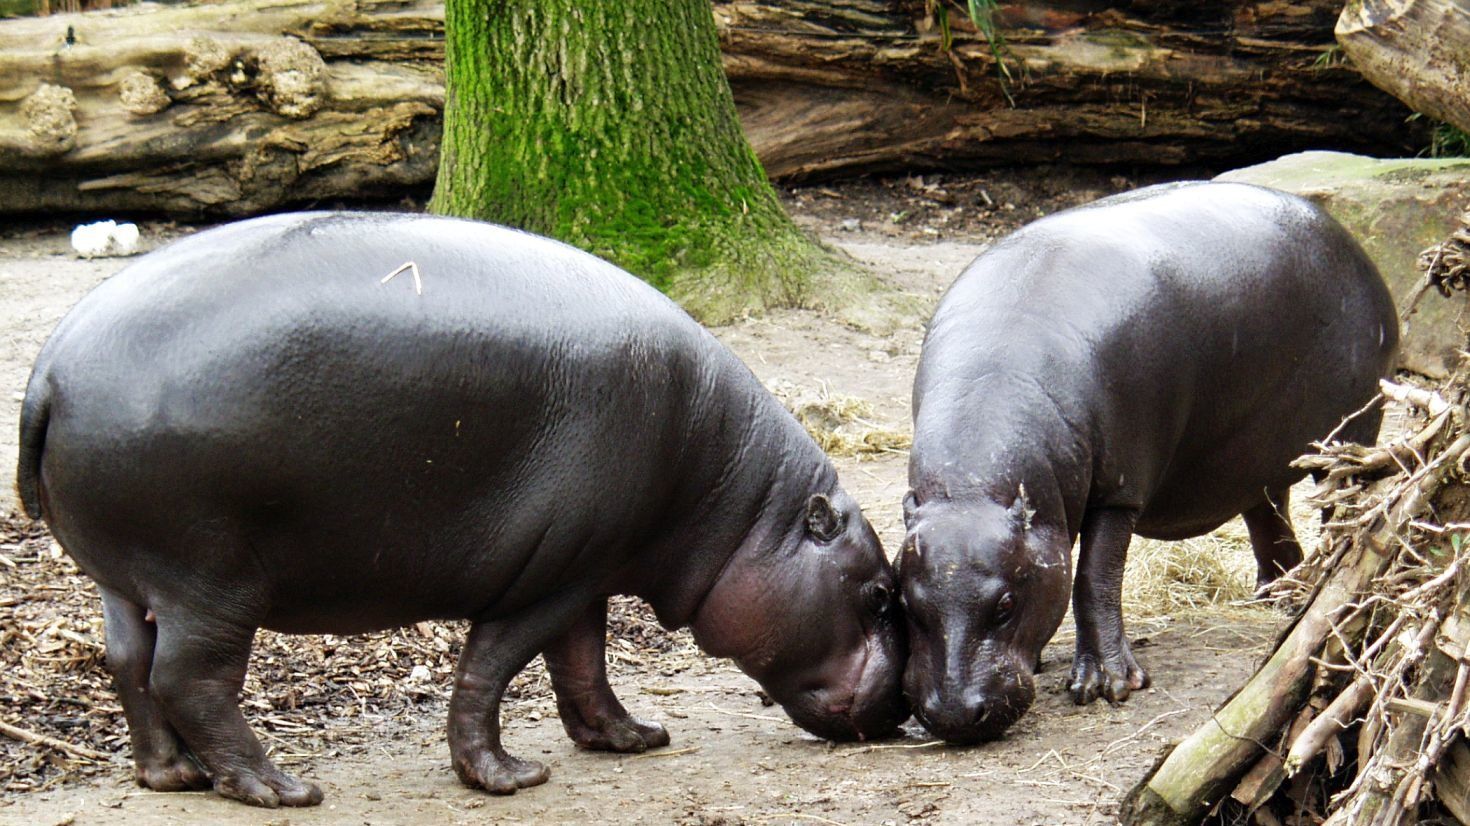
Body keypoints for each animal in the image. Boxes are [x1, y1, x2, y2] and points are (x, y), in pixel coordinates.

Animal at [17, 210, 905, 805]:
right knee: (189, 677)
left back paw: (171, 776)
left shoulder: (587, 567)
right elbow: (492, 669)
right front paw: (508, 778)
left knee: (128, 662)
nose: (902, 706)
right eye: (877, 592)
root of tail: (51, 368)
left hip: (125, 574)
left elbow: (583, 665)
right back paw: (277, 787)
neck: (743, 508)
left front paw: (631, 739)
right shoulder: (544, 579)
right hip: (211, 579)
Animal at [899, 182, 1393, 743]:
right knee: (1270, 516)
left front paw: (1107, 686)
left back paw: (1321, 590)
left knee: (1341, 509)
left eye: (1004, 604)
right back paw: (1282, 597)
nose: (953, 715)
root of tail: (1351, 242)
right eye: (905, 602)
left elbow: (1093, 577)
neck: (972, 490)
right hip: (1256, 457)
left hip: (1350, 435)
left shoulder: (1118, 490)